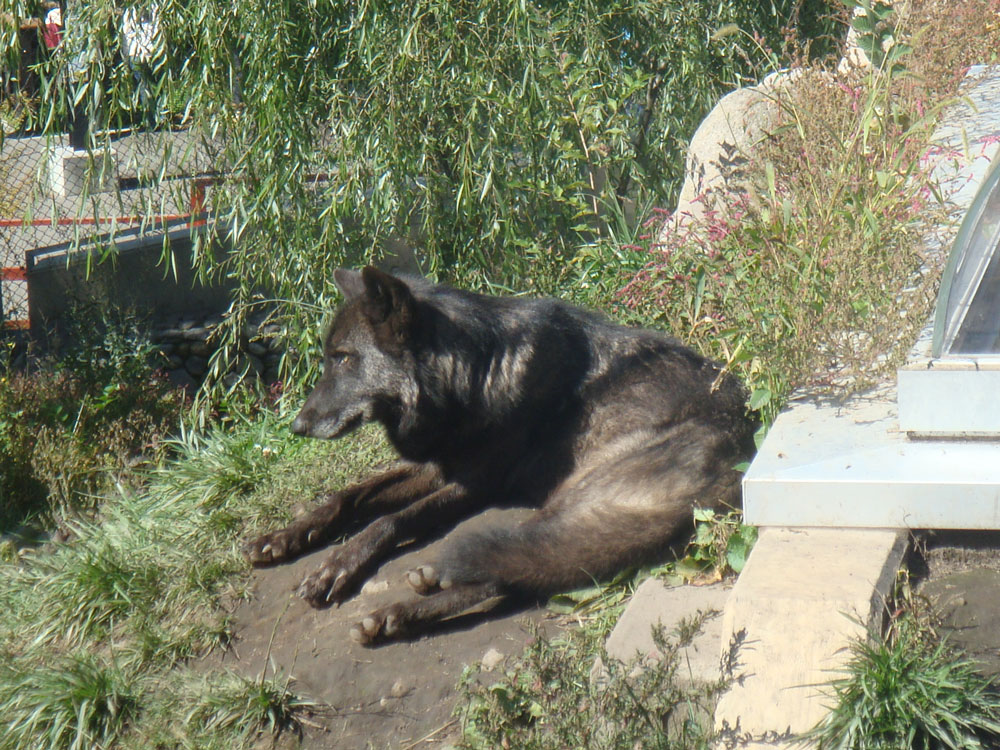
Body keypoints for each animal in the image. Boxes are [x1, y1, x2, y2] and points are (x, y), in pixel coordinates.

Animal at [244, 267, 757, 645]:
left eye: (344, 358)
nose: (297, 425)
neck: (474, 374)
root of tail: (738, 462)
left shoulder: (475, 483)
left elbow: (390, 520)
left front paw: (335, 567)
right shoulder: (437, 466)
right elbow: (349, 497)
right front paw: (284, 537)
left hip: (571, 500)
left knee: (511, 569)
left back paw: (406, 602)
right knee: (521, 575)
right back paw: (411, 605)